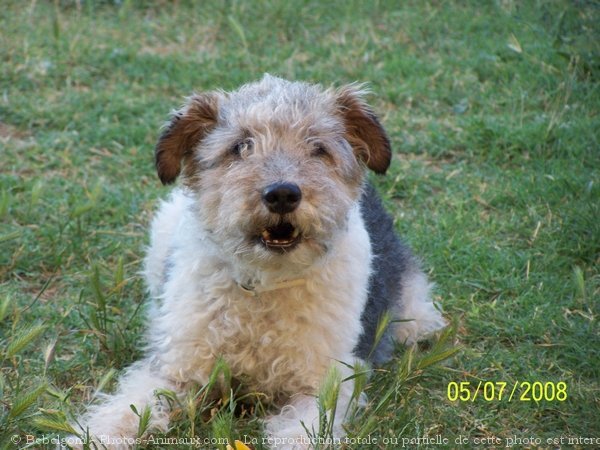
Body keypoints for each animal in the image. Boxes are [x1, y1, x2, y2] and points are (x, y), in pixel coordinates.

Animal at [71, 74, 446, 446]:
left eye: (318, 147)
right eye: (240, 146)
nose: (282, 194)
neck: (264, 283)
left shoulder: (324, 382)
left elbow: (303, 433)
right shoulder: (174, 367)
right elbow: (126, 409)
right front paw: (92, 436)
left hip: (412, 313)